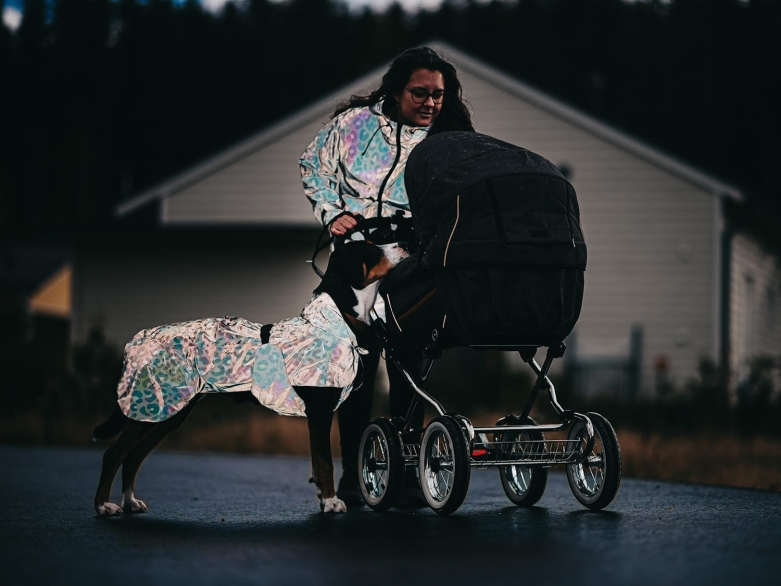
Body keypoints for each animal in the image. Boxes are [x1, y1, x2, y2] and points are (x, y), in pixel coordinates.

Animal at [93, 237, 406, 512]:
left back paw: (131, 502)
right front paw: (331, 503)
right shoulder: (320, 410)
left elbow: (317, 463)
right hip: (152, 409)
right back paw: (104, 506)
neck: (337, 319)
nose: (403, 242)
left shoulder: (316, 415)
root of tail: (138, 342)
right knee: (113, 455)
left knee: (132, 458)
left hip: (167, 414)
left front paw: (323, 498)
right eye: (369, 249)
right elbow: (325, 462)